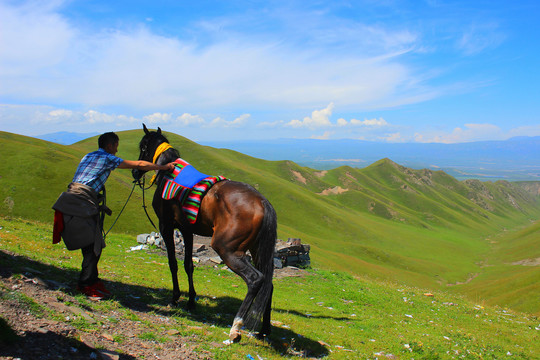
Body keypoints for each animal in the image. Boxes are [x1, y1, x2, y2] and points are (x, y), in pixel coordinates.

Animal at [130, 125, 274, 342]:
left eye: (143, 146)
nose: (135, 171)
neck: (168, 173)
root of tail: (262, 202)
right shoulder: (187, 230)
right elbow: (188, 265)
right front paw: (191, 301)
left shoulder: (166, 226)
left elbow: (173, 263)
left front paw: (175, 298)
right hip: (257, 250)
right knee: (268, 284)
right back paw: (264, 330)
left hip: (228, 250)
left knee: (255, 279)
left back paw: (236, 327)